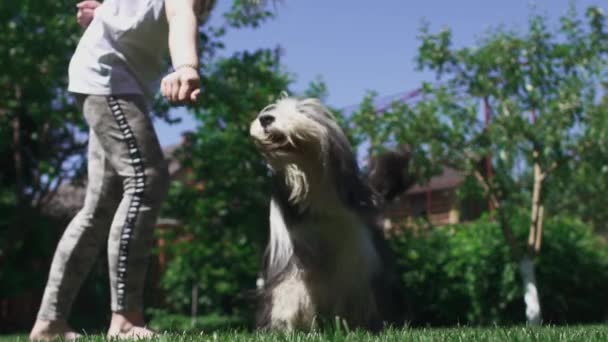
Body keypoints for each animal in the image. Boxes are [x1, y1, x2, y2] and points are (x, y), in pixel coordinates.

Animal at [249, 95, 406, 330]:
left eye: (301, 111)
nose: (265, 119)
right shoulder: (290, 249)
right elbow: (289, 286)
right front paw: (285, 323)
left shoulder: (357, 248)